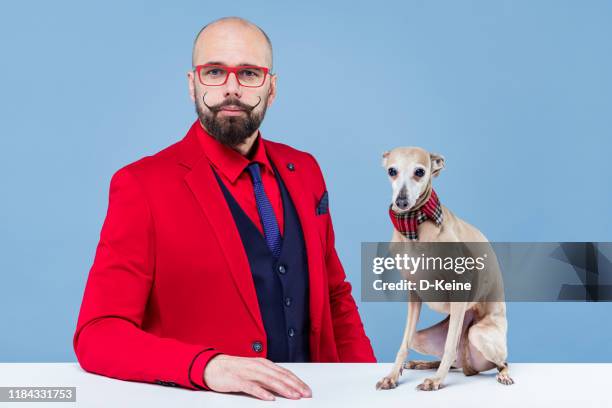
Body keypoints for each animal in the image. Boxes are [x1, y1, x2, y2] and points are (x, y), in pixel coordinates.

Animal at [376, 147, 512, 392]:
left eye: (420, 172)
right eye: (392, 171)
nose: (401, 202)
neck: (415, 226)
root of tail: (470, 366)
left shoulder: (459, 287)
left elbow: (449, 346)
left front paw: (437, 381)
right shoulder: (414, 293)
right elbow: (403, 343)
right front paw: (392, 375)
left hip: (477, 333)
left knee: (500, 362)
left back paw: (502, 375)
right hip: (423, 337)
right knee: (448, 357)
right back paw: (422, 364)